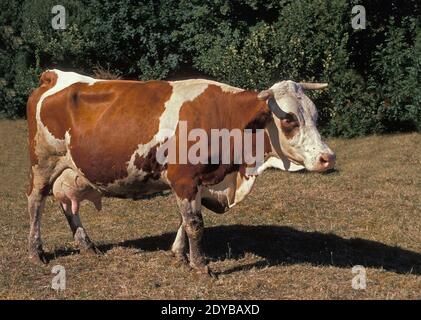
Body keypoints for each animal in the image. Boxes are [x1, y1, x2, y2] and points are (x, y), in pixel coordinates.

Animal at [26, 69, 334, 276]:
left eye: (315, 116)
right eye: (289, 120)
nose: (327, 158)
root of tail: (54, 75)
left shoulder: (196, 182)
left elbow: (185, 220)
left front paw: (179, 255)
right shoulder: (184, 178)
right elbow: (195, 224)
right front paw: (201, 267)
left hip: (69, 170)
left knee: (68, 204)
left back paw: (87, 245)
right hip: (42, 162)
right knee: (36, 202)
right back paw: (36, 252)